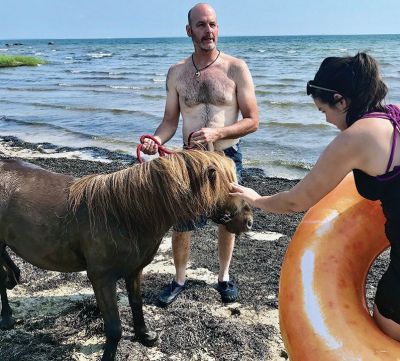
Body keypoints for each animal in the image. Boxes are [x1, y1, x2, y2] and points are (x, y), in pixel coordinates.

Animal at [0, 150, 253, 360]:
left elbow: (136, 304)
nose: (248, 221)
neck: (123, 215)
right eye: (230, 187)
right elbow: (114, 327)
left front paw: (145, 336)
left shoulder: (134, 271)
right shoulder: (101, 279)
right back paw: (7, 317)